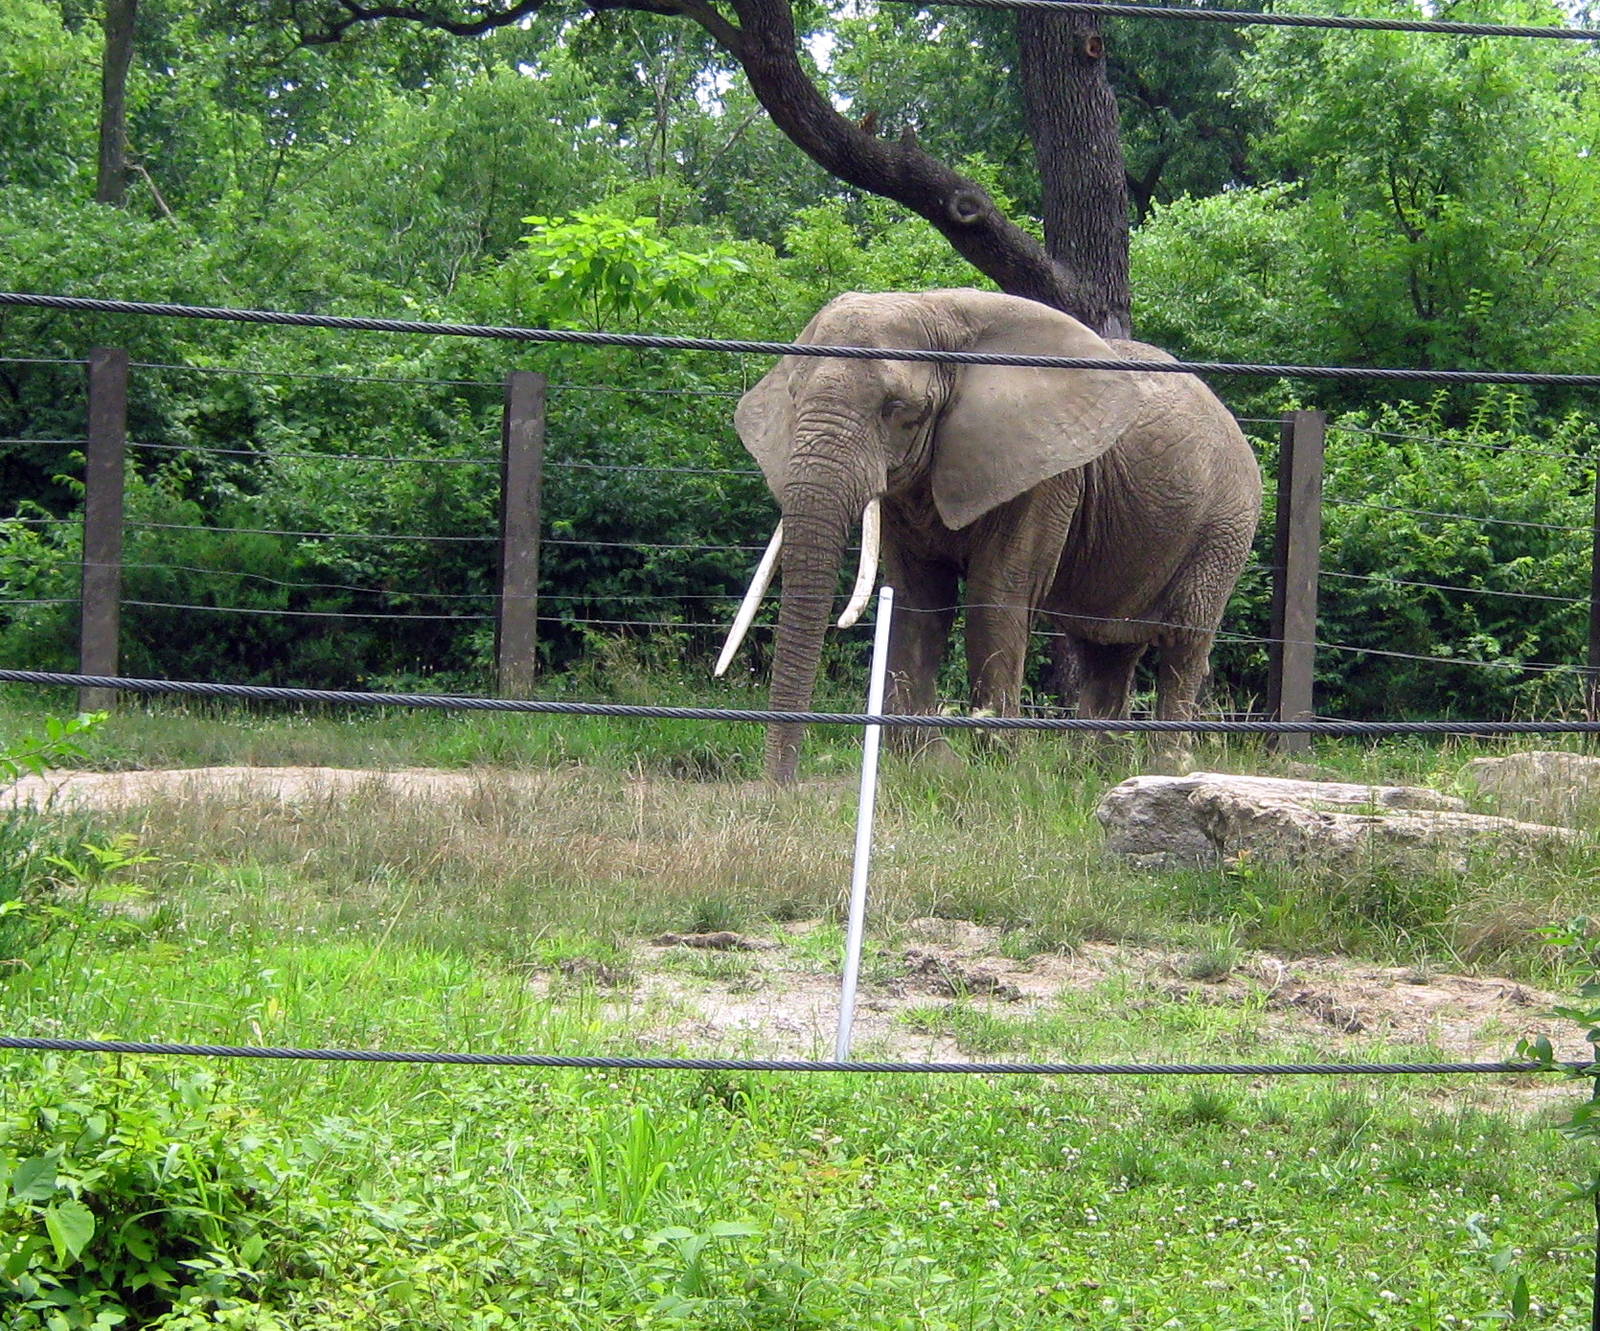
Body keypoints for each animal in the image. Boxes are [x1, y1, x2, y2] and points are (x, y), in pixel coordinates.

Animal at [714, 288, 1261, 783]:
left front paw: (995, 769)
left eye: (897, 408)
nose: (780, 787)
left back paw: (1167, 770)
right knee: (1105, 645)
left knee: (1183, 642)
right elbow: (918, 600)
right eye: (792, 398)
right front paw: (929, 766)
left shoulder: (1045, 474)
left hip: (1226, 522)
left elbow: (995, 595)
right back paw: (1090, 770)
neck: (934, 310)